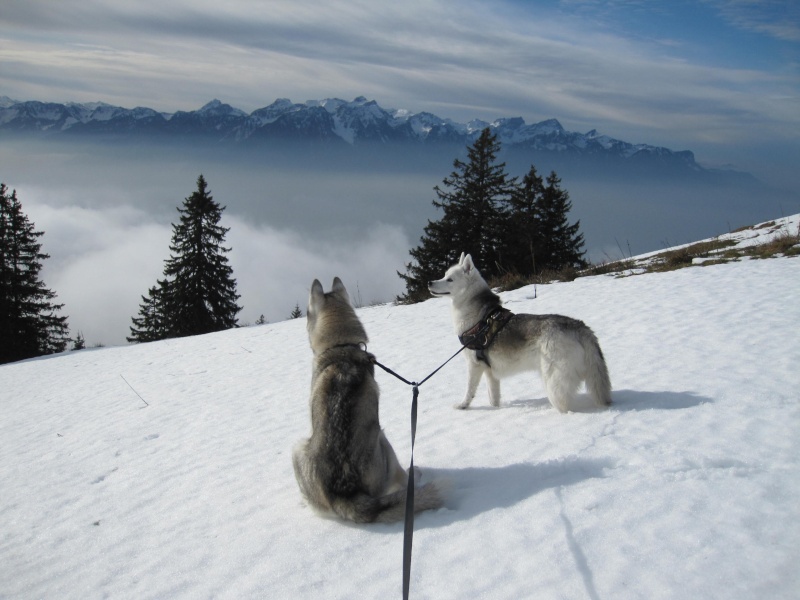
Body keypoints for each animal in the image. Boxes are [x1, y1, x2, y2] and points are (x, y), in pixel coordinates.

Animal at [432, 253, 612, 412]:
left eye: (449, 279)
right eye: (444, 275)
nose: (429, 282)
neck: (478, 315)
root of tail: (579, 327)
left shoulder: (474, 365)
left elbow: (469, 391)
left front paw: (463, 406)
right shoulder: (490, 371)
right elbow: (493, 397)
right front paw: (495, 410)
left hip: (554, 381)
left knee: (564, 406)